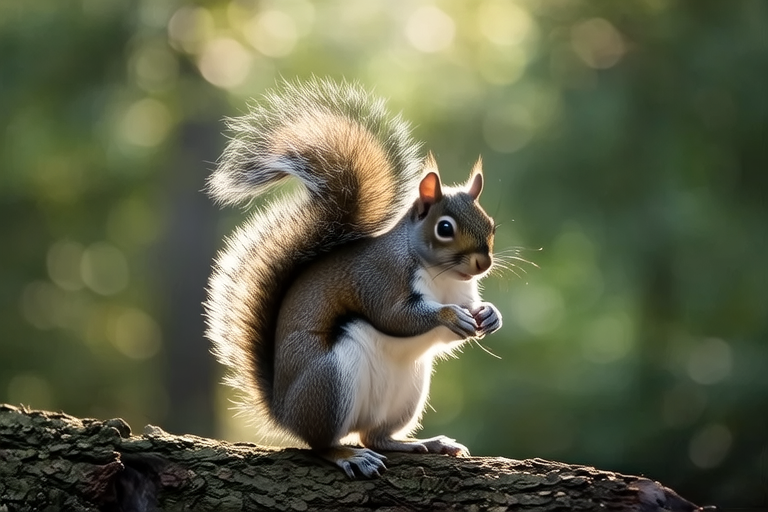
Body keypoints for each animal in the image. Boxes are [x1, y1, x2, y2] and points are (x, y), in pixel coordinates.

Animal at [204, 79, 502, 478]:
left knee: (375, 436)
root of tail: (284, 411)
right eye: (444, 228)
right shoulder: (381, 279)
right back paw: (348, 455)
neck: (443, 277)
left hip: (406, 394)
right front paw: (449, 315)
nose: (483, 263)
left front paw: (491, 315)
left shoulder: (465, 292)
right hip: (330, 384)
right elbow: (395, 317)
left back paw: (422, 443)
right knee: (322, 444)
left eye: (490, 224)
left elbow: (460, 321)